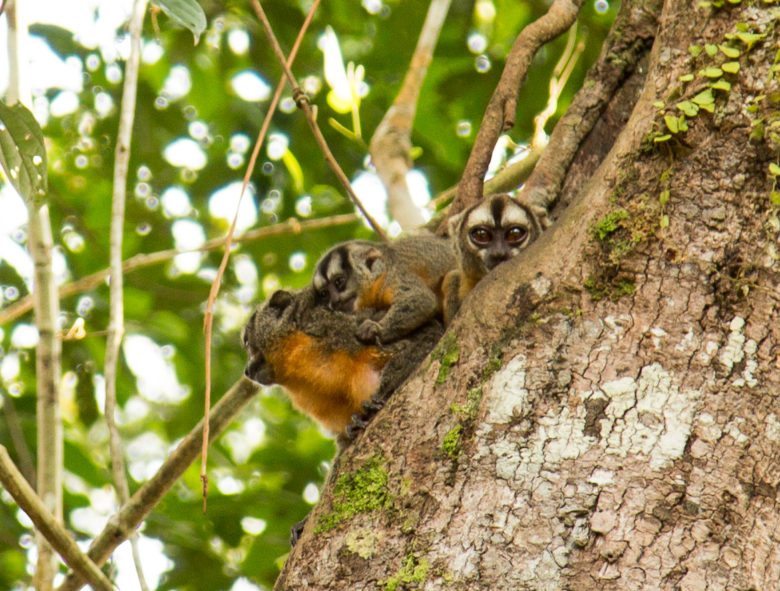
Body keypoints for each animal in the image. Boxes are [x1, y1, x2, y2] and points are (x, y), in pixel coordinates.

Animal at [241, 286, 442, 444]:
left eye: (248, 343)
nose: (247, 370)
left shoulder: (346, 329)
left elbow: (430, 333)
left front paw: (383, 391)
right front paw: (353, 424)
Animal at [310, 235, 458, 344]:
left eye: (339, 281)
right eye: (325, 293)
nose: (334, 302)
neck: (379, 281)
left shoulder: (396, 277)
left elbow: (421, 298)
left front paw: (378, 329)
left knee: (452, 278)